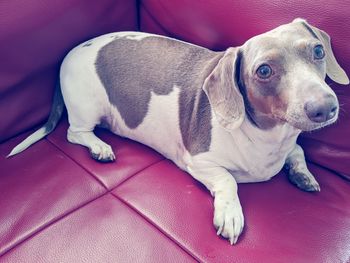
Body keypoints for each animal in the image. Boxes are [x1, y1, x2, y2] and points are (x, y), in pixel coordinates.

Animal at [6, 18, 348, 245]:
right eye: (264, 70)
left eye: (318, 51)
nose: (325, 107)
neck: (268, 137)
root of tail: (69, 54)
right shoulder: (199, 162)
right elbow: (228, 180)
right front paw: (230, 213)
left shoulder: (289, 142)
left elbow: (298, 150)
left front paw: (302, 174)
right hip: (86, 107)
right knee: (75, 133)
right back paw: (99, 147)